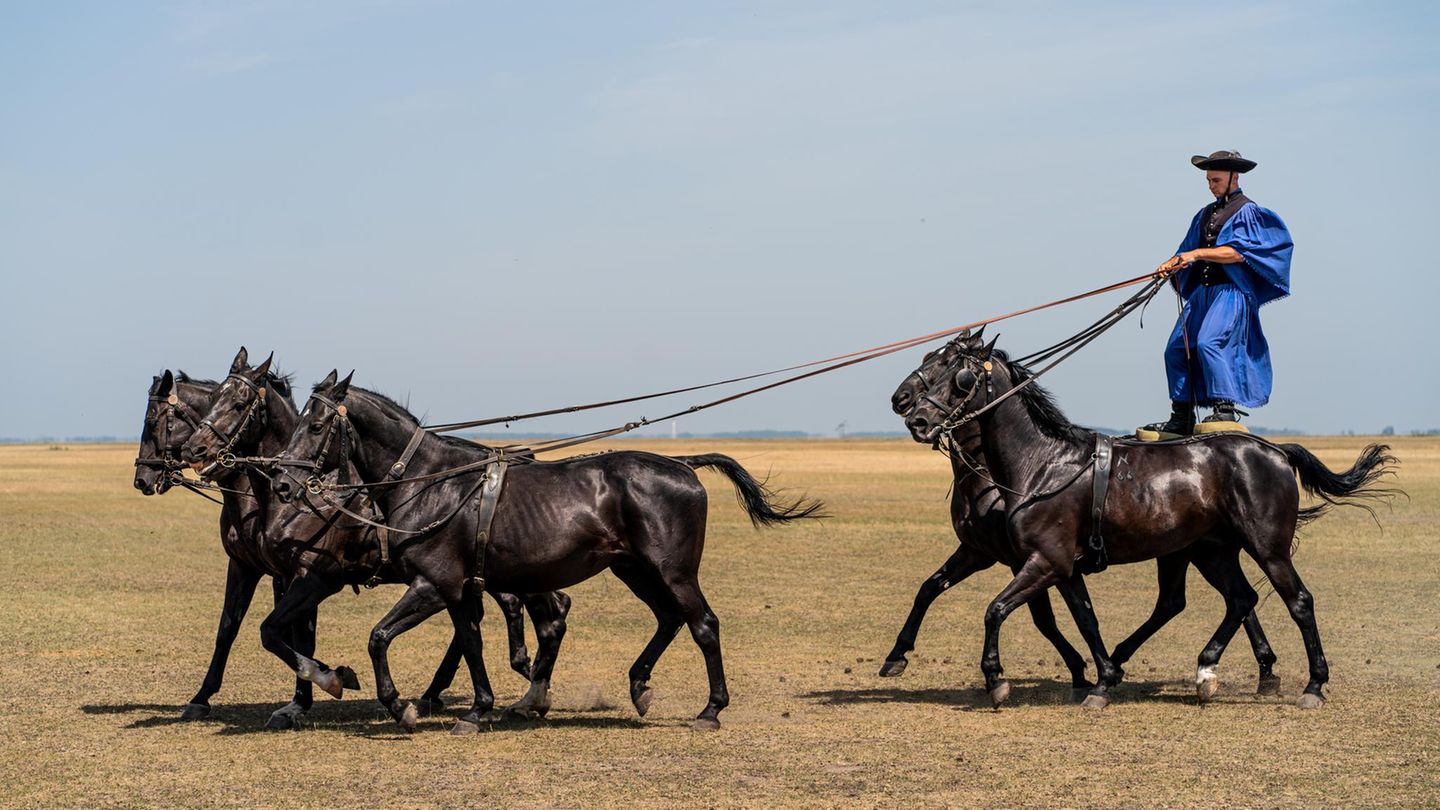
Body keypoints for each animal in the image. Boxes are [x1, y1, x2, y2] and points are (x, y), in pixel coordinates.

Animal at [146, 350, 561, 720]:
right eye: (213, 399)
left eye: (238, 403)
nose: (144, 477)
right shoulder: (256, 569)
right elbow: (241, 630)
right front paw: (208, 698)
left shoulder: (315, 578)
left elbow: (281, 633)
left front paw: (318, 687)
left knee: (541, 610)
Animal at [264, 371, 817, 732]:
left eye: (316, 426)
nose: (284, 484)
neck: (432, 483)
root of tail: (682, 464)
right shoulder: (460, 589)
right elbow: (470, 643)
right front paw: (478, 709)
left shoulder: (434, 585)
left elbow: (379, 637)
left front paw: (401, 705)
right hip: (634, 570)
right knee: (667, 618)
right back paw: (637, 686)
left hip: (672, 570)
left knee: (702, 624)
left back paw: (710, 710)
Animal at [898, 334, 1393, 706]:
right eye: (931, 362)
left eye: (956, 374)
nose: (913, 416)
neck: (1042, 466)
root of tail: (1275, 450)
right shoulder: (1060, 567)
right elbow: (1083, 619)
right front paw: (1101, 678)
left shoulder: (1043, 562)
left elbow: (996, 610)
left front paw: (997, 679)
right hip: (1209, 553)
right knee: (1236, 599)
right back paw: (1206, 670)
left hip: (1266, 549)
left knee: (1298, 602)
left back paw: (1313, 685)